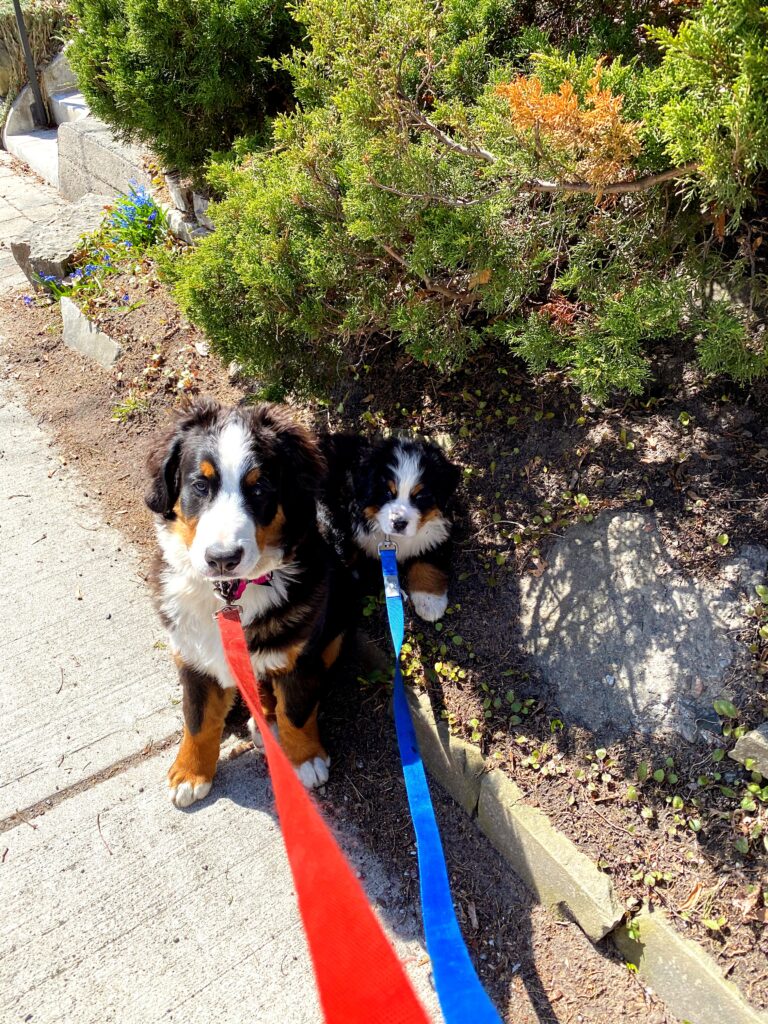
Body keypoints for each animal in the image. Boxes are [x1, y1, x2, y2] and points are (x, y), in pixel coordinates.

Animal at [146, 399, 348, 806]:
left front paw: (305, 759)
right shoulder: (192, 656)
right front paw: (190, 772)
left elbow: (296, 711)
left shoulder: (299, 655)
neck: (230, 593)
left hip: (332, 635)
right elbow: (197, 718)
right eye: (200, 484)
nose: (223, 558)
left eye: (260, 488)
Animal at [321, 434, 460, 622]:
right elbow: (346, 555)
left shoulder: (436, 531)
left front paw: (430, 601)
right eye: (387, 492)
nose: (399, 523)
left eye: (420, 496)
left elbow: (429, 561)